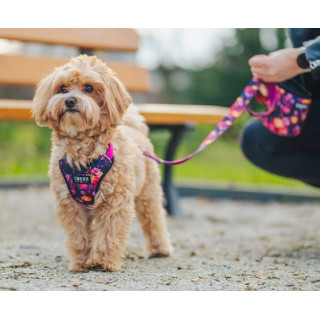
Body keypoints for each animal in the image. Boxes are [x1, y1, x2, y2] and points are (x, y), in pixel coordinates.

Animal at [32, 53, 172, 272]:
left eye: (89, 88)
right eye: (62, 88)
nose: (70, 100)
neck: (83, 155)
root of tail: (136, 129)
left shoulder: (114, 201)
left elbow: (108, 233)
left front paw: (101, 261)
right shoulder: (69, 204)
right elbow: (78, 237)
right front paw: (81, 262)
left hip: (148, 192)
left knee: (154, 219)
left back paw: (160, 249)